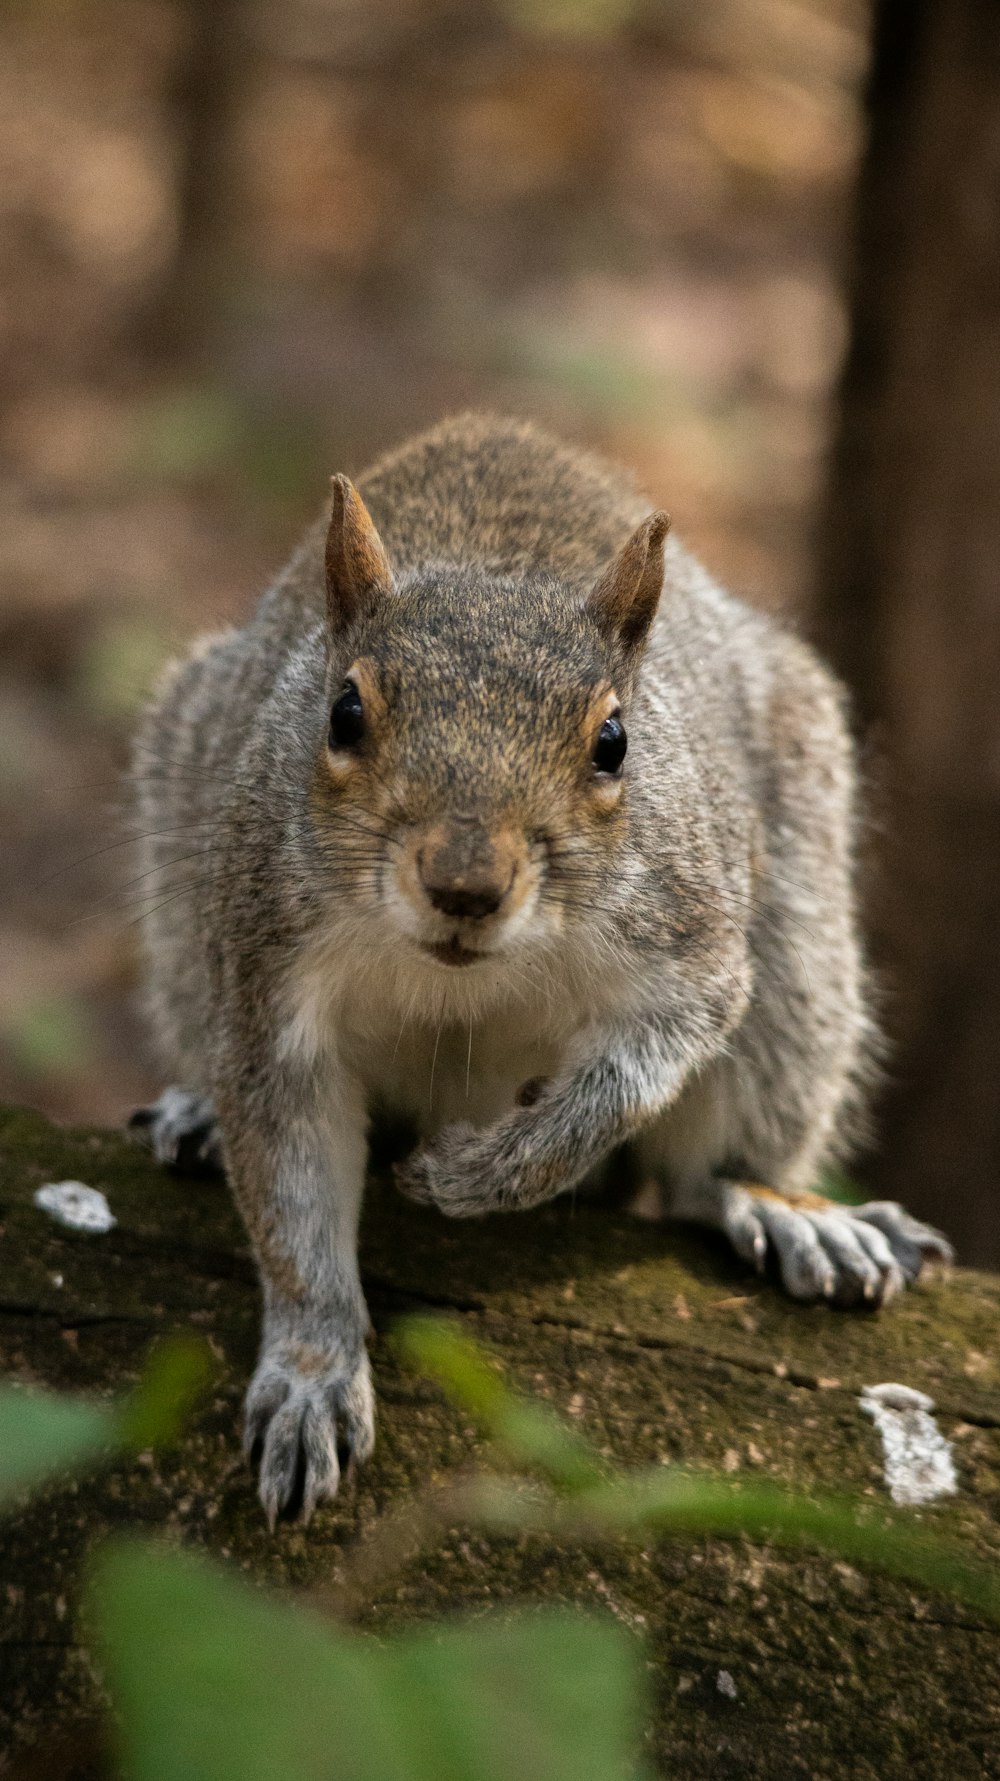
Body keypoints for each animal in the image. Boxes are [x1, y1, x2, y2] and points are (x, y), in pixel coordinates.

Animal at [126, 409, 948, 1524]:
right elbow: (291, 1204)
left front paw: (482, 1171)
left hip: (798, 956)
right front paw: (311, 1370)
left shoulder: (688, 942)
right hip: (181, 890)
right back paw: (198, 1113)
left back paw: (780, 1207)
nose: (465, 885)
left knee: (707, 1163)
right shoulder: (260, 974)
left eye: (614, 741)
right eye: (343, 713)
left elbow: (631, 1076)